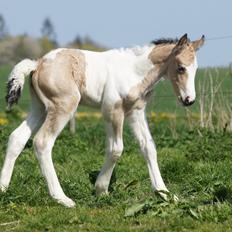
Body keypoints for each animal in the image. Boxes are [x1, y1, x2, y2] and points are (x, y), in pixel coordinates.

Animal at [0, 32, 204, 207]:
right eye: (181, 68)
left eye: (196, 69)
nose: (189, 100)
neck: (134, 70)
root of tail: (38, 63)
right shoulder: (112, 109)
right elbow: (116, 149)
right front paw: (101, 190)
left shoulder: (135, 111)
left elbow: (148, 147)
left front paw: (165, 194)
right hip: (63, 106)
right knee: (42, 142)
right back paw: (62, 199)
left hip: (40, 107)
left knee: (17, 137)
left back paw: (3, 188)